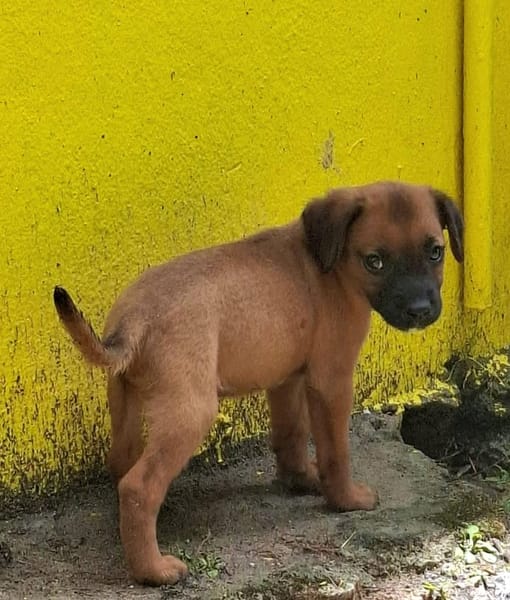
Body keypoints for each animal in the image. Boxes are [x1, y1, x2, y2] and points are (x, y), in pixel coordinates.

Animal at [53, 181, 463, 586]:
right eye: (374, 261)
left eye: (435, 252)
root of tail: (135, 319)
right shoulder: (332, 381)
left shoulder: (286, 379)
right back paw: (153, 570)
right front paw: (346, 499)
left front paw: (301, 479)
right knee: (138, 487)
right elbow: (336, 451)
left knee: (122, 465)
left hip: (125, 399)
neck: (330, 266)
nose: (420, 311)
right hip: (190, 412)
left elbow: (291, 435)